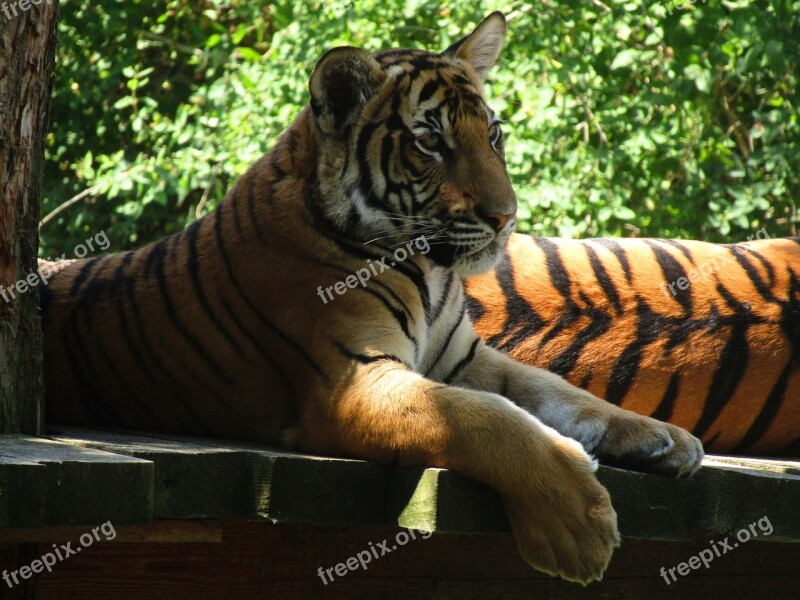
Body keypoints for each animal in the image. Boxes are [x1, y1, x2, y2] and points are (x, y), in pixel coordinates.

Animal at [39, 12, 700, 584]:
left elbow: (558, 391)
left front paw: (664, 437)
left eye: (493, 135)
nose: (507, 217)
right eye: (430, 142)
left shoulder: (464, 357)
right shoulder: (351, 382)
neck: (431, 272)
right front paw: (578, 526)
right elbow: (486, 419)